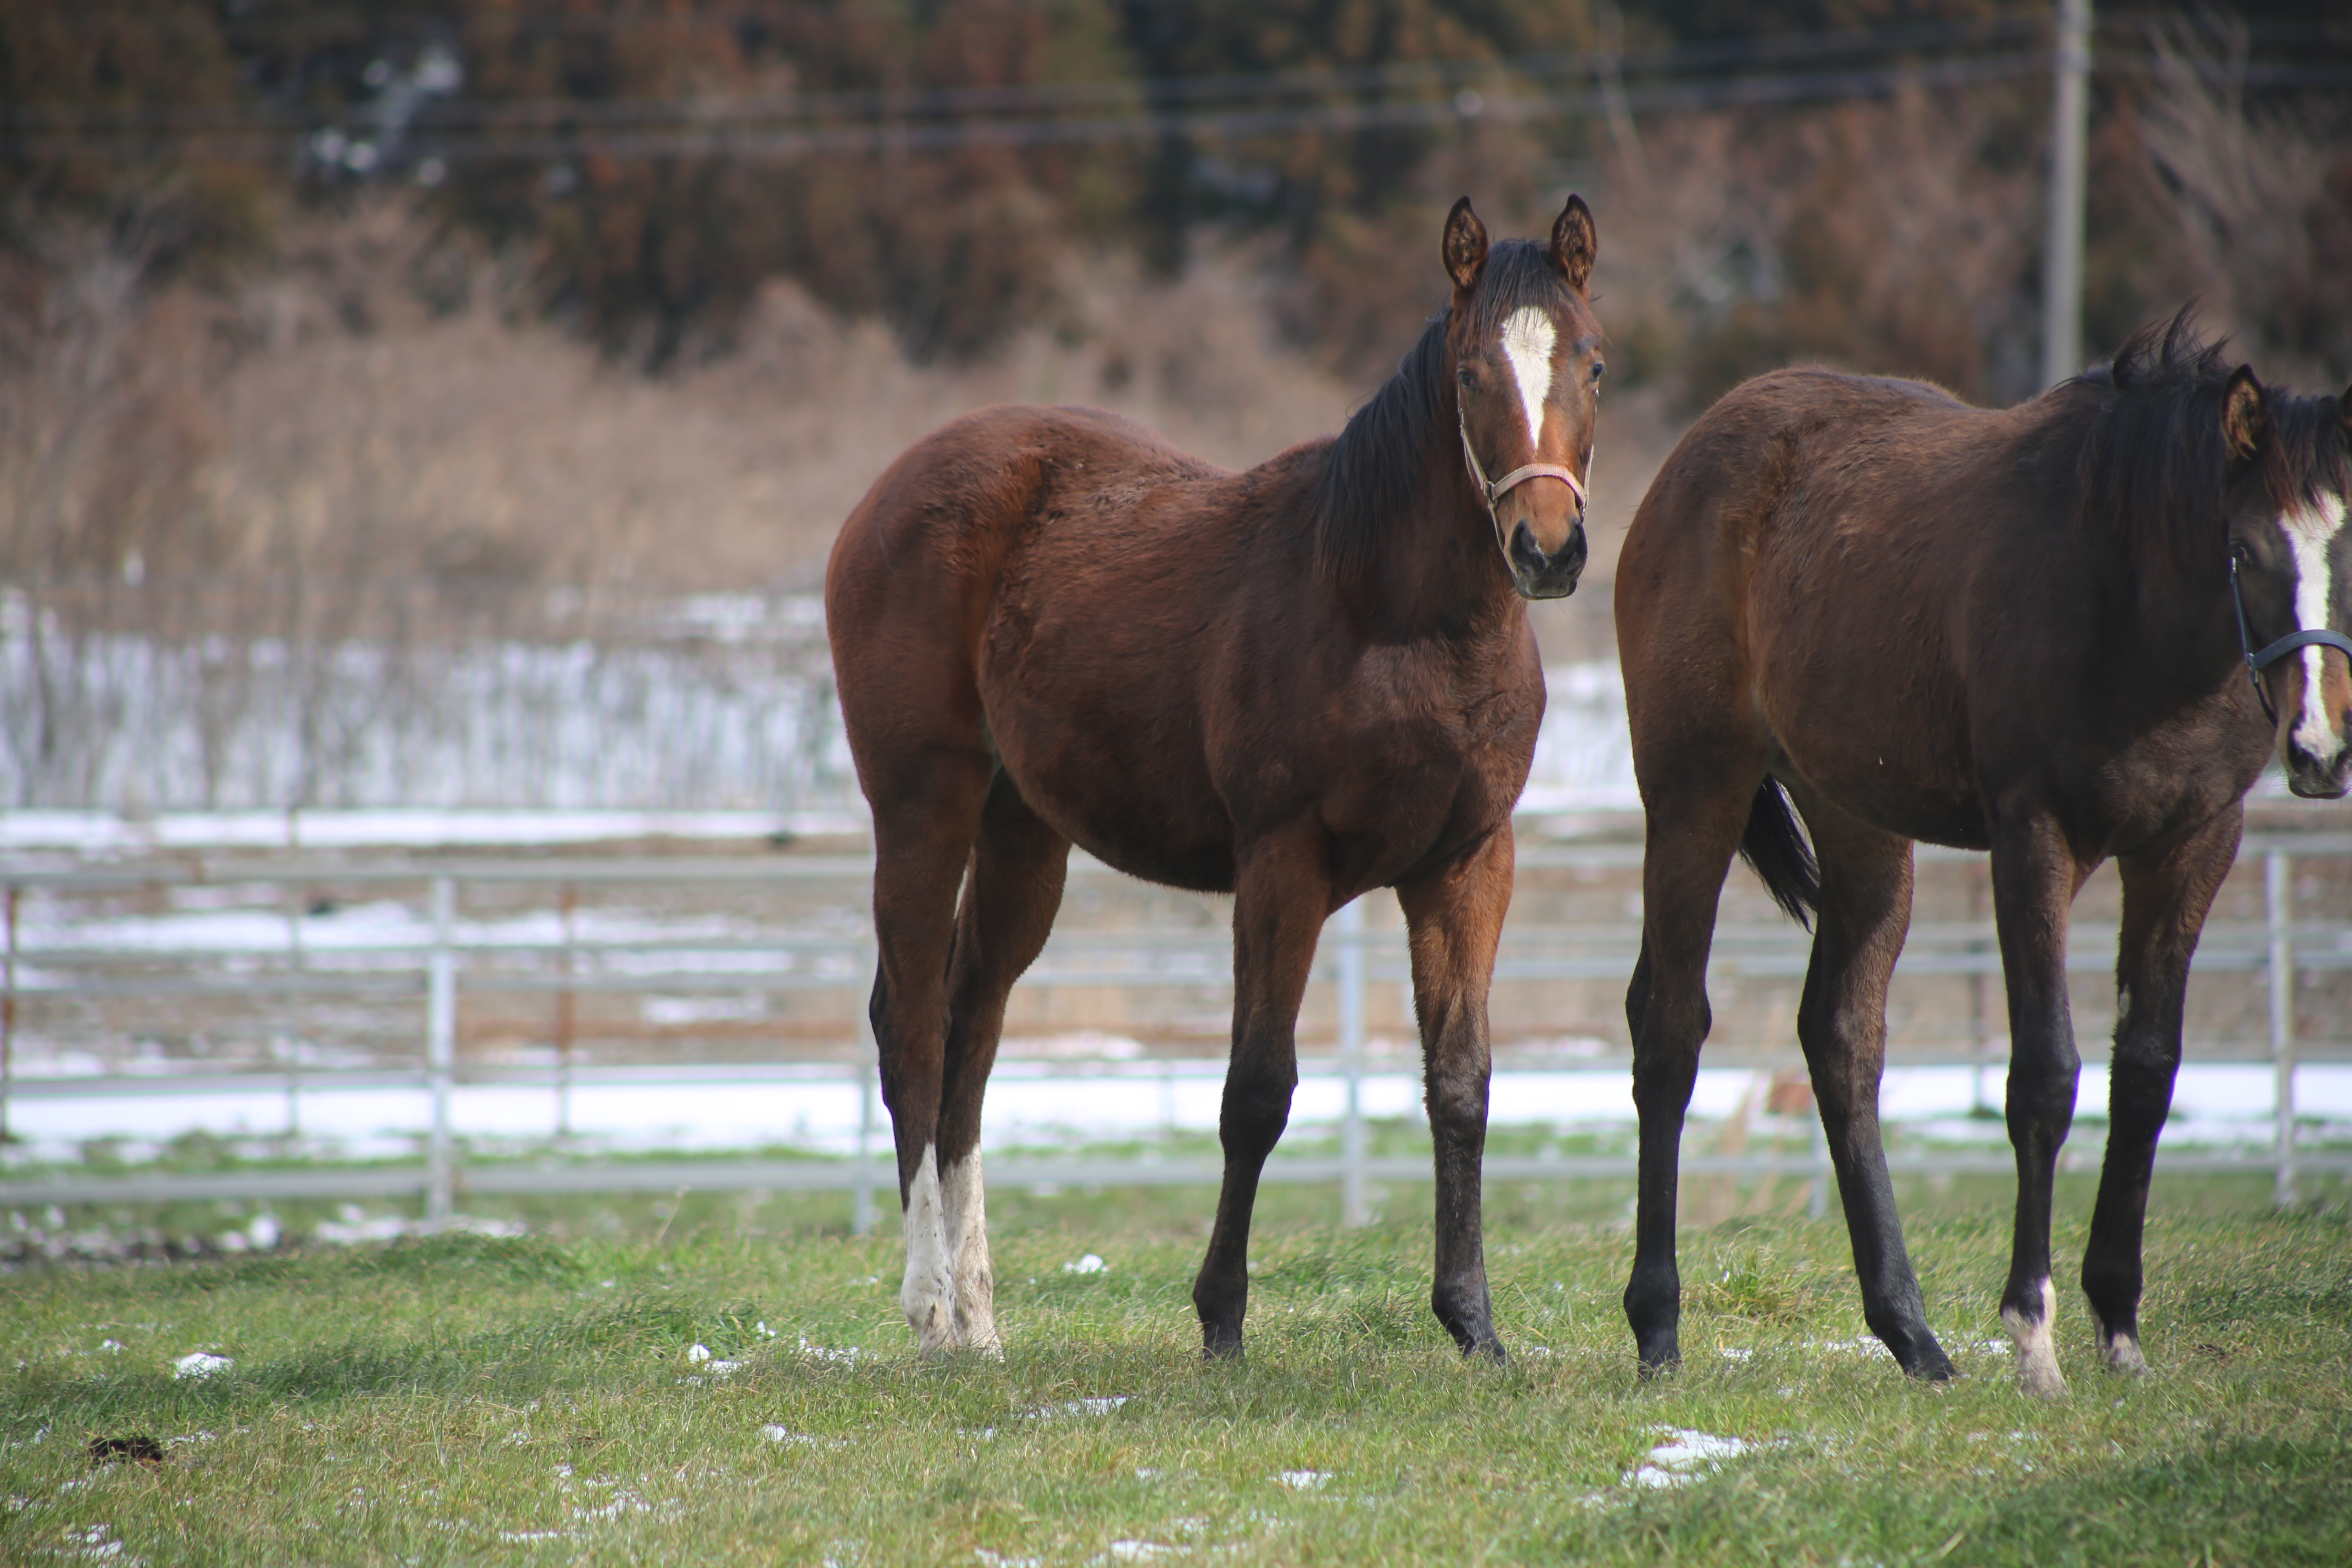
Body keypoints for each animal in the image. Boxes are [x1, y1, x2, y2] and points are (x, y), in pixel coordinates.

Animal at [823, 200, 1599, 1363]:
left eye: (1591, 364)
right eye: (1470, 375)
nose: (1545, 548)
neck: (1386, 613)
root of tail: (888, 491)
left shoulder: (1466, 863)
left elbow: (1460, 1084)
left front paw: (1474, 1325)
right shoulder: (1281, 865)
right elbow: (1256, 1092)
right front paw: (1221, 1321)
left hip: (1023, 836)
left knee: (972, 1028)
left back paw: (978, 1325)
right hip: (923, 805)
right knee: (912, 1020)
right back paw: (928, 1306)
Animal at [1618, 312, 2352, 1392]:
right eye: (2248, 548)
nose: (2320, 750)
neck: (2123, 600)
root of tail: (1687, 459)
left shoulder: (2192, 844)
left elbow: (2146, 1070)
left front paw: (2119, 1329)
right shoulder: (2033, 839)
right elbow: (2044, 1073)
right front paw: (2033, 1337)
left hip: (1860, 823)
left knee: (1842, 1037)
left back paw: (1913, 1337)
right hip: (1693, 793)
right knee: (1668, 1028)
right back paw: (1658, 1328)